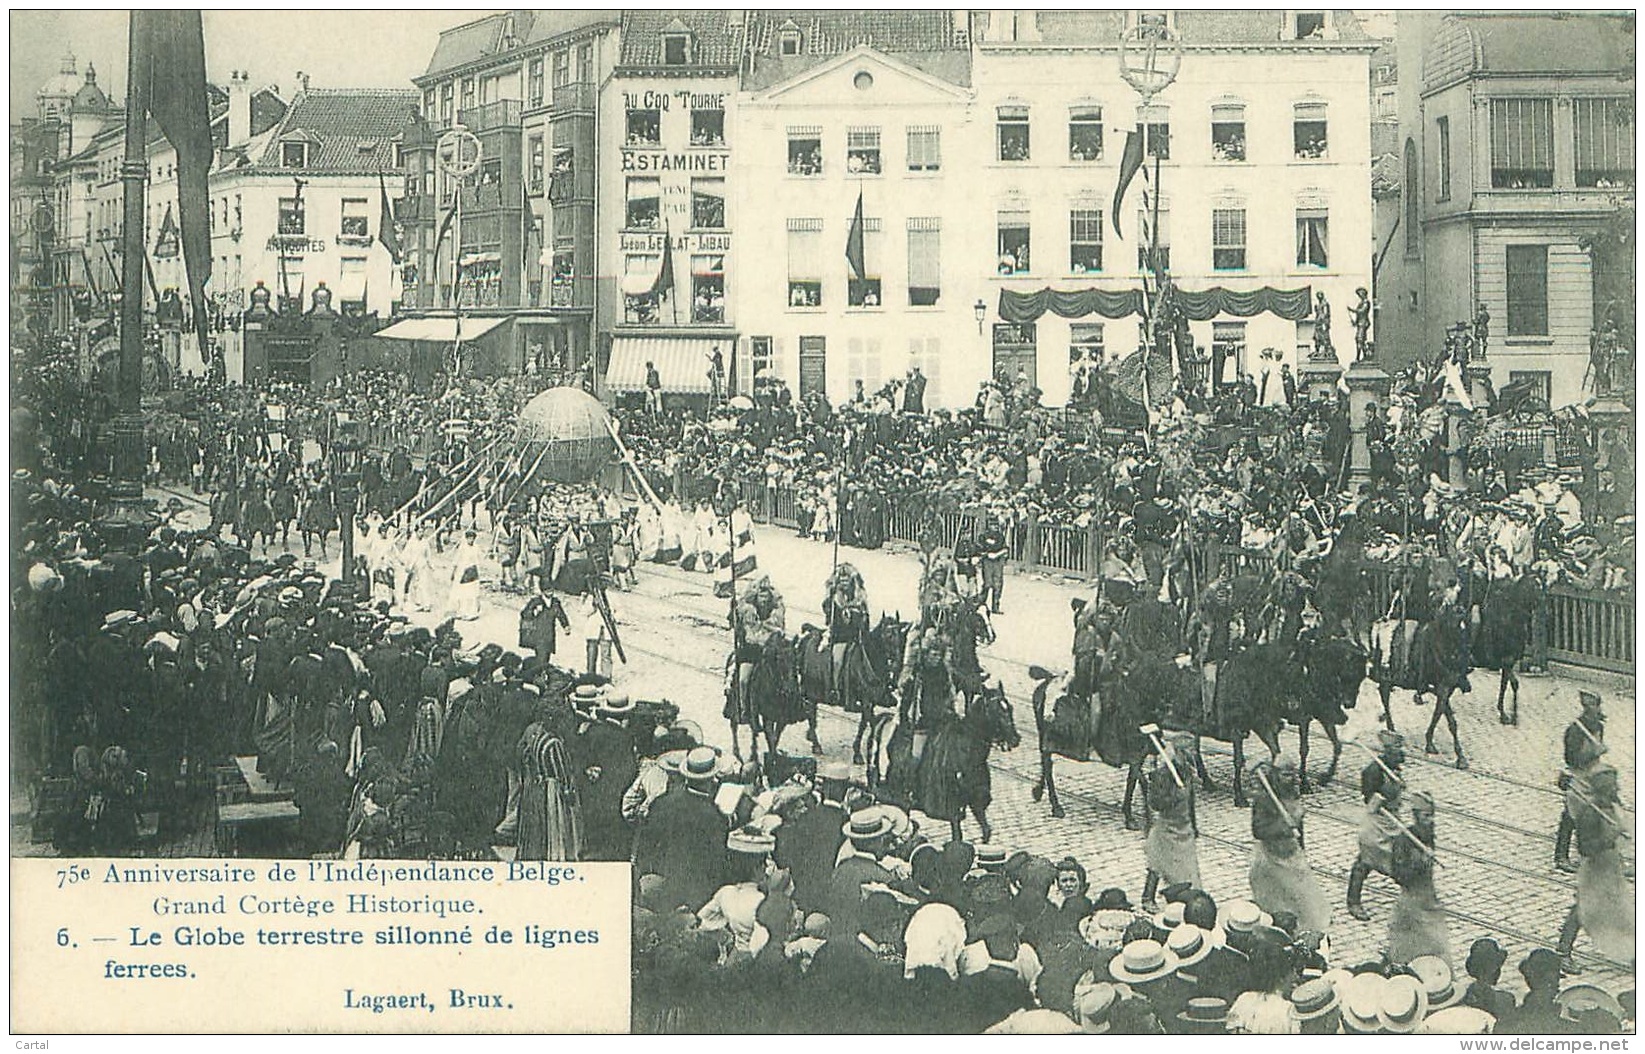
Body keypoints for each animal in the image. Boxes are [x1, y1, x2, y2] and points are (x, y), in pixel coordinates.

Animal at [875, 677, 1013, 841]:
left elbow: (985, 829)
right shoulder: (952, 807)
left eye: (1010, 708)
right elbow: (958, 836)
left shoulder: (975, 800)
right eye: (996, 711)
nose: (1016, 739)